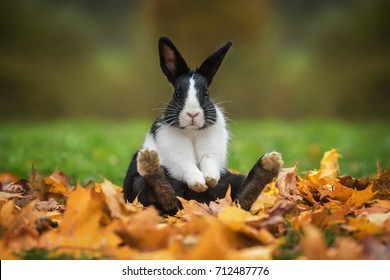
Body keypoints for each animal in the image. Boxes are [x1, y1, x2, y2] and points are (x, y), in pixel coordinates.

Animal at [123, 37, 282, 214]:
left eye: (206, 94)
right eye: (177, 94)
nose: (192, 114)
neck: (192, 132)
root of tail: (200, 202)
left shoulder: (212, 151)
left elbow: (208, 161)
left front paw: (210, 179)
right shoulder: (176, 154)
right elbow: (187, 164)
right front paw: (198, 183)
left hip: (233, 180)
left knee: (241, 201)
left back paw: (268, 165)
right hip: (138, 184)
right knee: (165, 198)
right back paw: (149, 162)